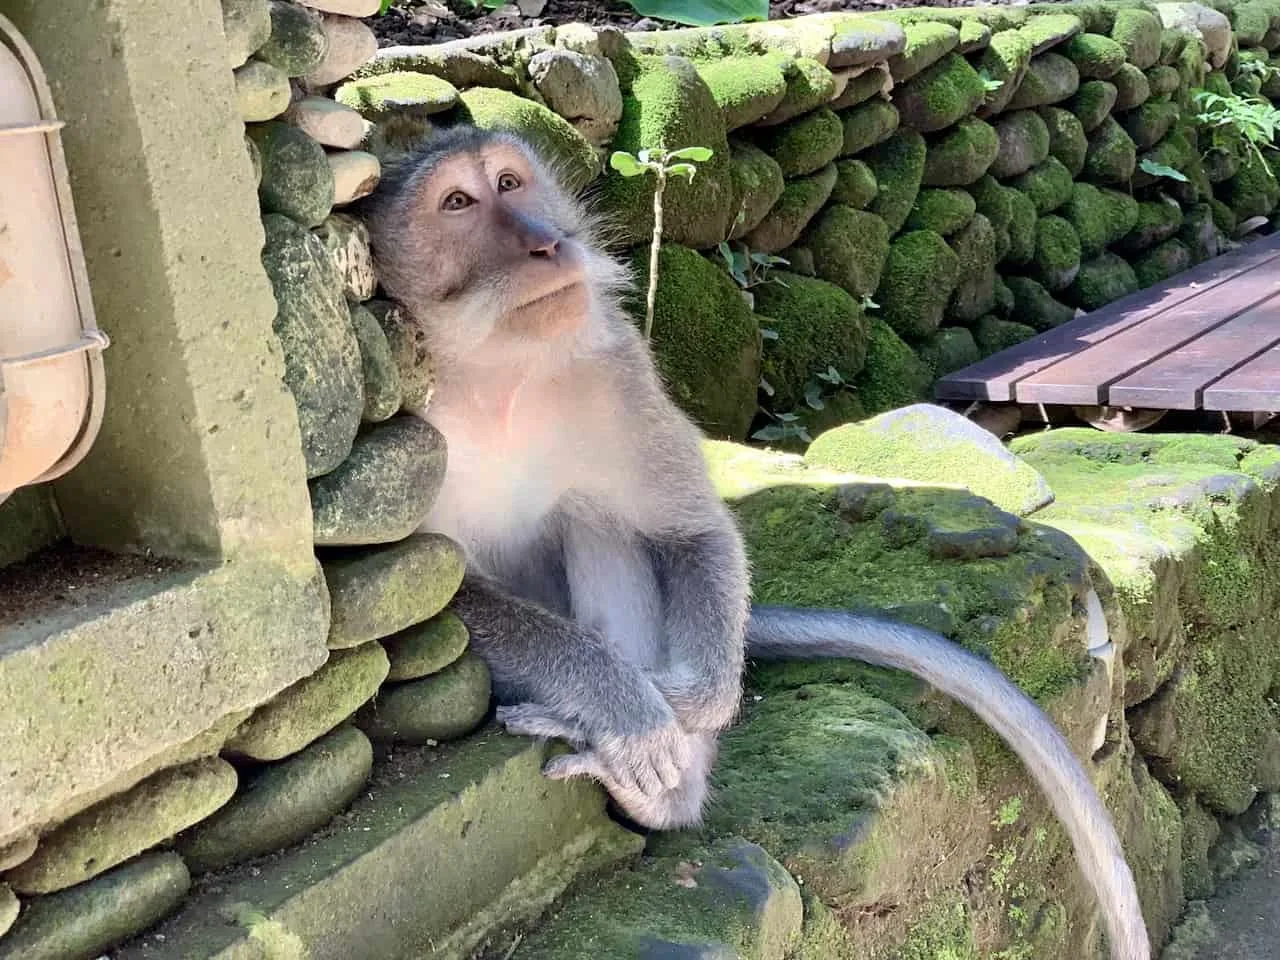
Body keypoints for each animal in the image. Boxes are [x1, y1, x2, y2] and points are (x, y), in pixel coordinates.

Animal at [358, 126, 1152, 960]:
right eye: (458, 202)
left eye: (511, 182)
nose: (547, 241)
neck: (497, 376)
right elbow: (434, 620)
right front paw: (622, 704)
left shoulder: (616, 365)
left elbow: (690, 533)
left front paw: (692, 701)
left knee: (600, 520)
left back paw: (659, 796)